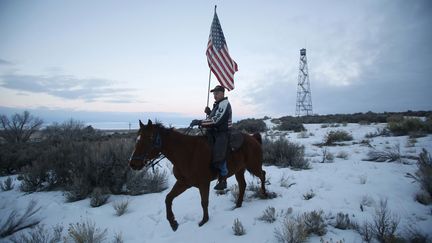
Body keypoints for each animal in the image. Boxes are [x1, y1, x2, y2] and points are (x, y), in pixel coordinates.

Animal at [127, 120, 266, 231]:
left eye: (149, 138)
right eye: (137, 138)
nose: (133, 163)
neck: (187, 153)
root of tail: (253, 137)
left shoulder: (204, 183)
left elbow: (204, 202)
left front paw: (204, 220)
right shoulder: (183, 183)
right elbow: (168, 198)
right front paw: (173, 223)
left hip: (253, 166)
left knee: (262, 175)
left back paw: (264, 194)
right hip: (239, 170)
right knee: (243, 185)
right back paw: (238, 205)